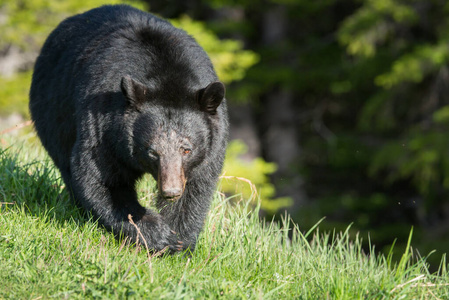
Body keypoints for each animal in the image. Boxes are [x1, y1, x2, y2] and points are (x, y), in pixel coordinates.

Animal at [28, 5, 228, 253]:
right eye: (152, 151)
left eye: (187, 149)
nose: (170, 191)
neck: (167, 78)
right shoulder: (105, 127)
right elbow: (103, 177)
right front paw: (157, 234)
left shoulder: (211, 146)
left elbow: (195, 188)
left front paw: (178, 240)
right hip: (54, 112)